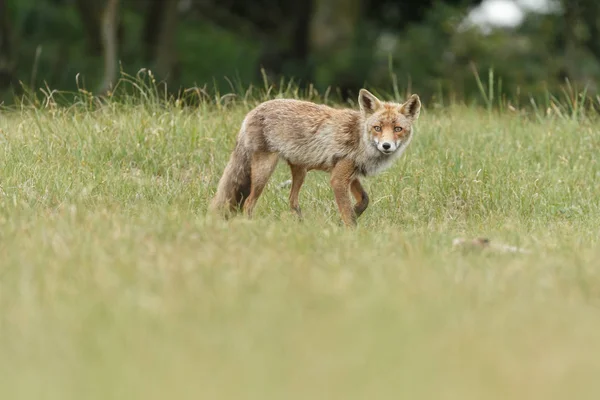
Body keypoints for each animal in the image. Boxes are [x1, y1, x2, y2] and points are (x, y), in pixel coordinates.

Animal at [210, 90, 422, 227]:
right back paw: (251, 227)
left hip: (300, 171)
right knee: (248, 203)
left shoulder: (350, 174)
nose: (386, 146)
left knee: (292, 201)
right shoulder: (338, 179)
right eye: (377, 128)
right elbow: (348, 214)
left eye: (398, 129)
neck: (360, 139)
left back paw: (302, 226)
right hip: (265, 170)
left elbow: (364, 201)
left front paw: (344, 219)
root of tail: (251, 111)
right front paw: (352, 234)